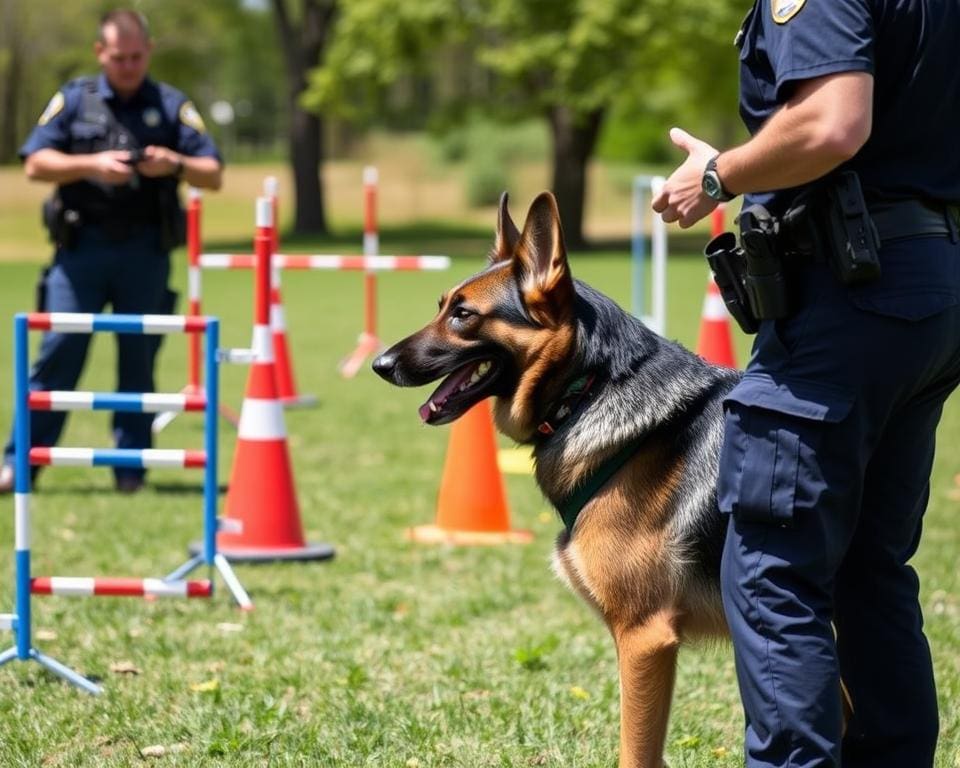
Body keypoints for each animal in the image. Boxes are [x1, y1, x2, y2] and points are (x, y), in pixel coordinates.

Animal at [372, 192, 740, 768]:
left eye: (463, 315)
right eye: (441, 306)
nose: (378, 363)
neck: (587, 389)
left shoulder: (645, 639)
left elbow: (636, 751)